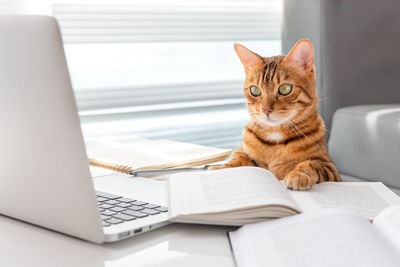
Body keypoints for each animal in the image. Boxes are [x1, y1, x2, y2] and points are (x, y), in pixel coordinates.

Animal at [209, 39, 340, 191]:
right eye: (255, 90)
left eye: (285, 89)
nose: (266, 110)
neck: (275, 136)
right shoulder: (244, 151)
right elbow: (237, 158)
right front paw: (221, 169)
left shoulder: (331, 168)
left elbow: (312, 164)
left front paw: (298, 175)